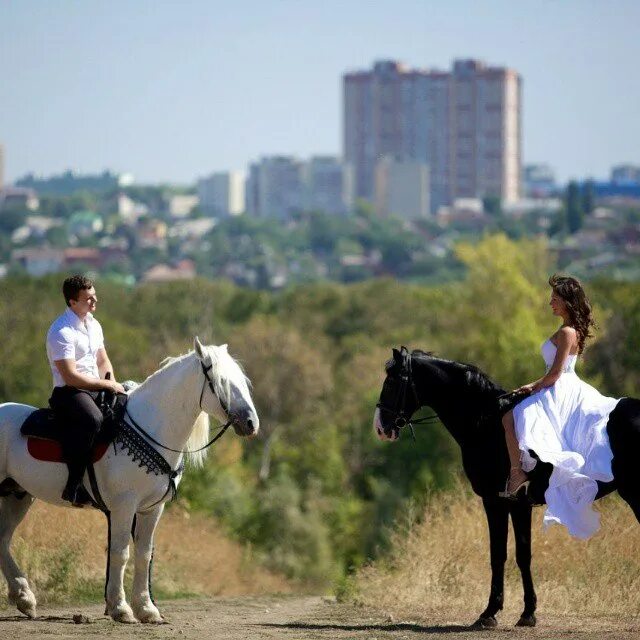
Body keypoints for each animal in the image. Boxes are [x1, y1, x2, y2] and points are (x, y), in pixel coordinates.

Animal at [0, 338, 258, 624]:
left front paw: (147, 609)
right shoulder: (124, 506)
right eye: (221, 381)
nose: (251, 423)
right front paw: (120, 608)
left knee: (2, 540)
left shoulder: (152, 509)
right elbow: (121, 552)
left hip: (17, 495)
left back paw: (24, 597)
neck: (150, 428)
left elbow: (144, 554)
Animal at [372, 348, 640, 628]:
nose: (380, 427)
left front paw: (496, 613)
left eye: (391, 382)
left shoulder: (499, 501)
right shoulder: (513, 504)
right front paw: (519, 612)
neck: (484, 422)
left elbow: (506, 554)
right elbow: (514, 554)